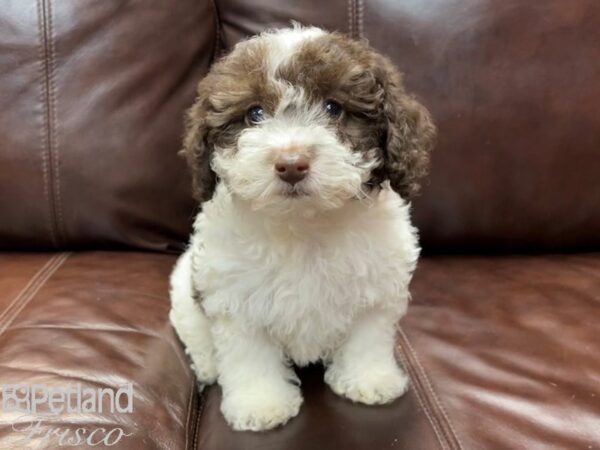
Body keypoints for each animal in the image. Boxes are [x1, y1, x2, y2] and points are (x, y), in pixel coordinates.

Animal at [169, 25, 436, 432]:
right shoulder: (235, 299)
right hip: (186, 287)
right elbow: (248, 354)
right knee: (193, 331)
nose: (291, 163)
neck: (304, 223)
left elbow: (367, 338)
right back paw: (209, 367)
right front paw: (260, 403)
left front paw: (368, 379)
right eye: (254, 113)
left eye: (333, 108)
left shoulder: (376, 291)